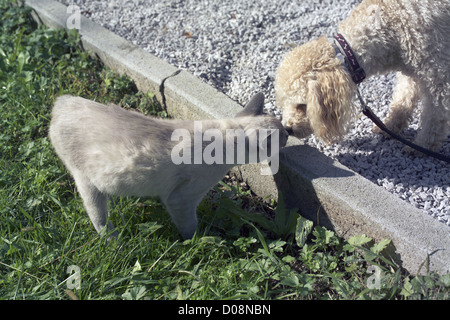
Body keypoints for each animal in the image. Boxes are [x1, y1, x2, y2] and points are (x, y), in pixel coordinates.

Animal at [49, 94, 288, 239]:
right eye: (284, 135)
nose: (288, 134)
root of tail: (62, 102)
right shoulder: (181, 198)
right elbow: (190, 228)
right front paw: (200, 241)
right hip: (87, 183)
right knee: (99, 219)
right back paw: (115, 241)